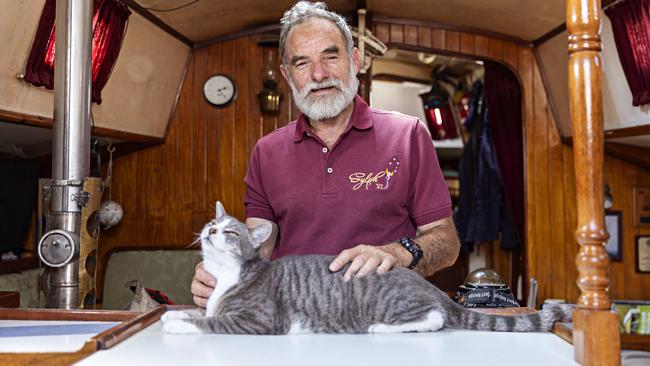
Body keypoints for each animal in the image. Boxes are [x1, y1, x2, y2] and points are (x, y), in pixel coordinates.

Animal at [159, 203, 568, 334]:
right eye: (212, 224)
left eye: (230, 231)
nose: (211, 231)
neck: (226, 276)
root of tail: (432, 288)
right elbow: (201, 310)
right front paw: (172, 314)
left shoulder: (258, 320)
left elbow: (211, 322)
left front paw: (179, 324)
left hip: (397, 304)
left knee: (435, 318)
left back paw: (381, 328)